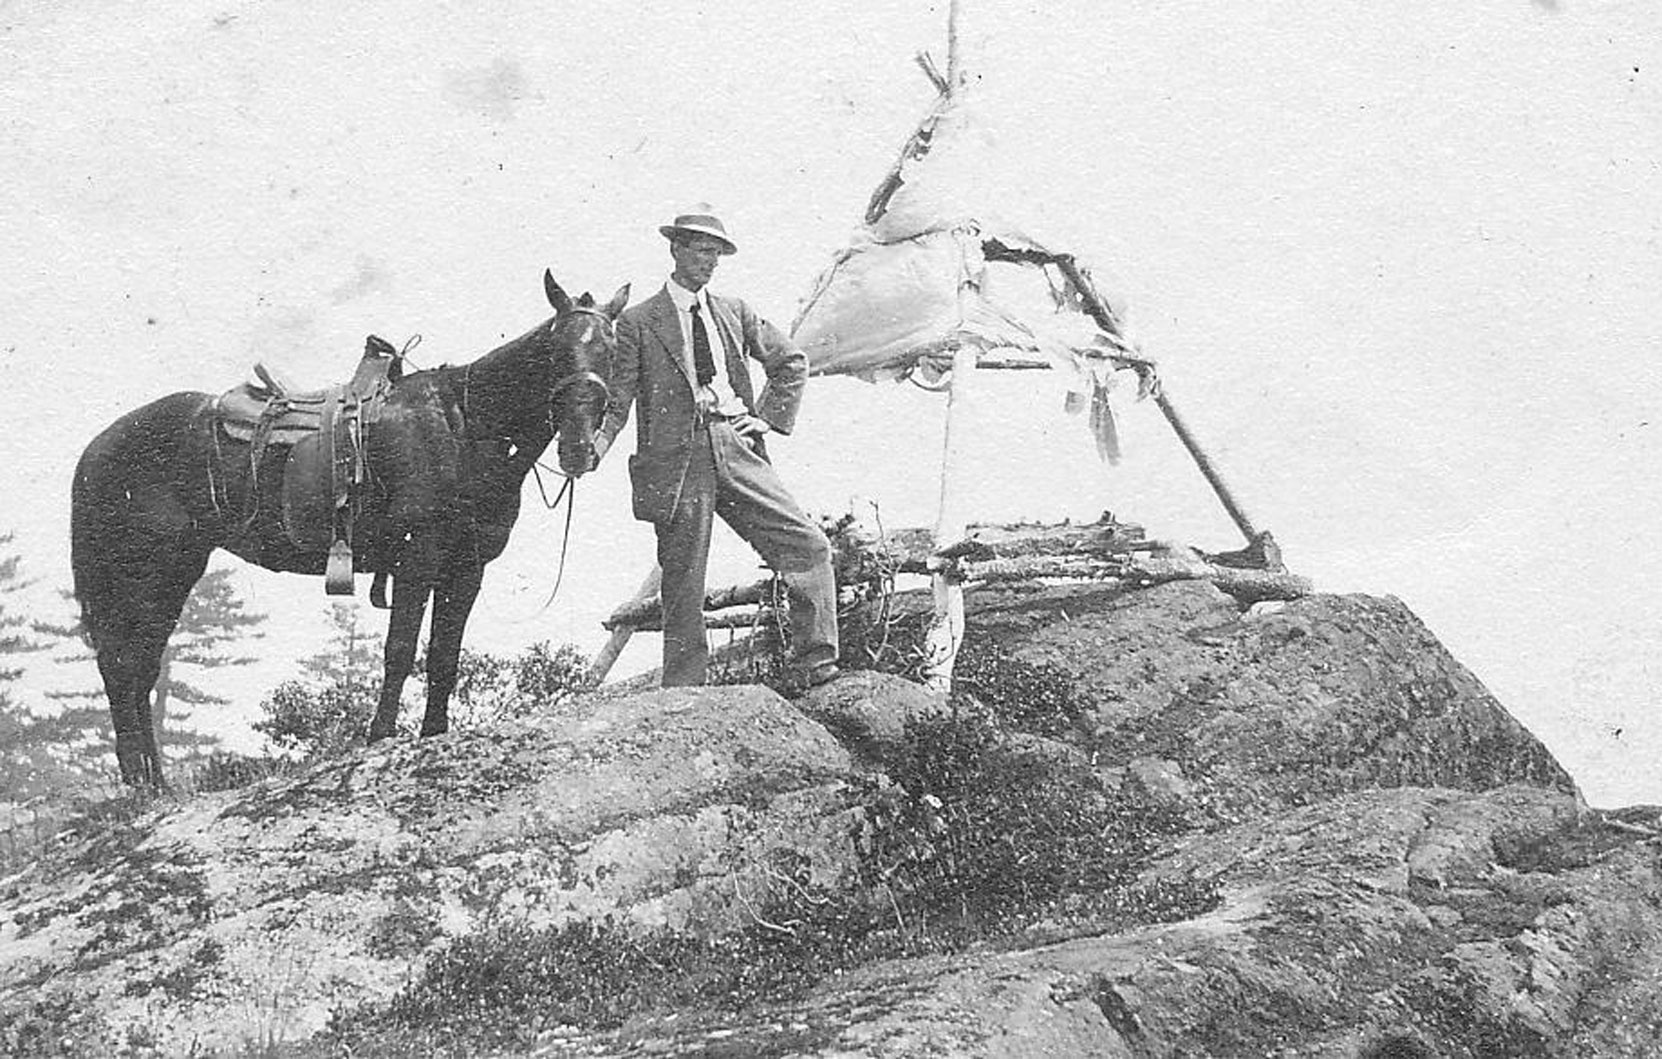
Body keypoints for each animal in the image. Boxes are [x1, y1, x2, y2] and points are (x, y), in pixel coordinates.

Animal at [69, 270, 628, 784]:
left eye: (611, 350)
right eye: (556, 348)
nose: (578, 448)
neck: (462, 426)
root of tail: (97, 448)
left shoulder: (466, 569)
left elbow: (444, 655)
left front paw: (434, 733)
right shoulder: (417, 558)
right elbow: (400, 650)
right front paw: (380, 735)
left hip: (175, 572)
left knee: (140, 666)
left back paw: (155, 782)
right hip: (146, 573)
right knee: (122, 664)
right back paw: (138, 782)